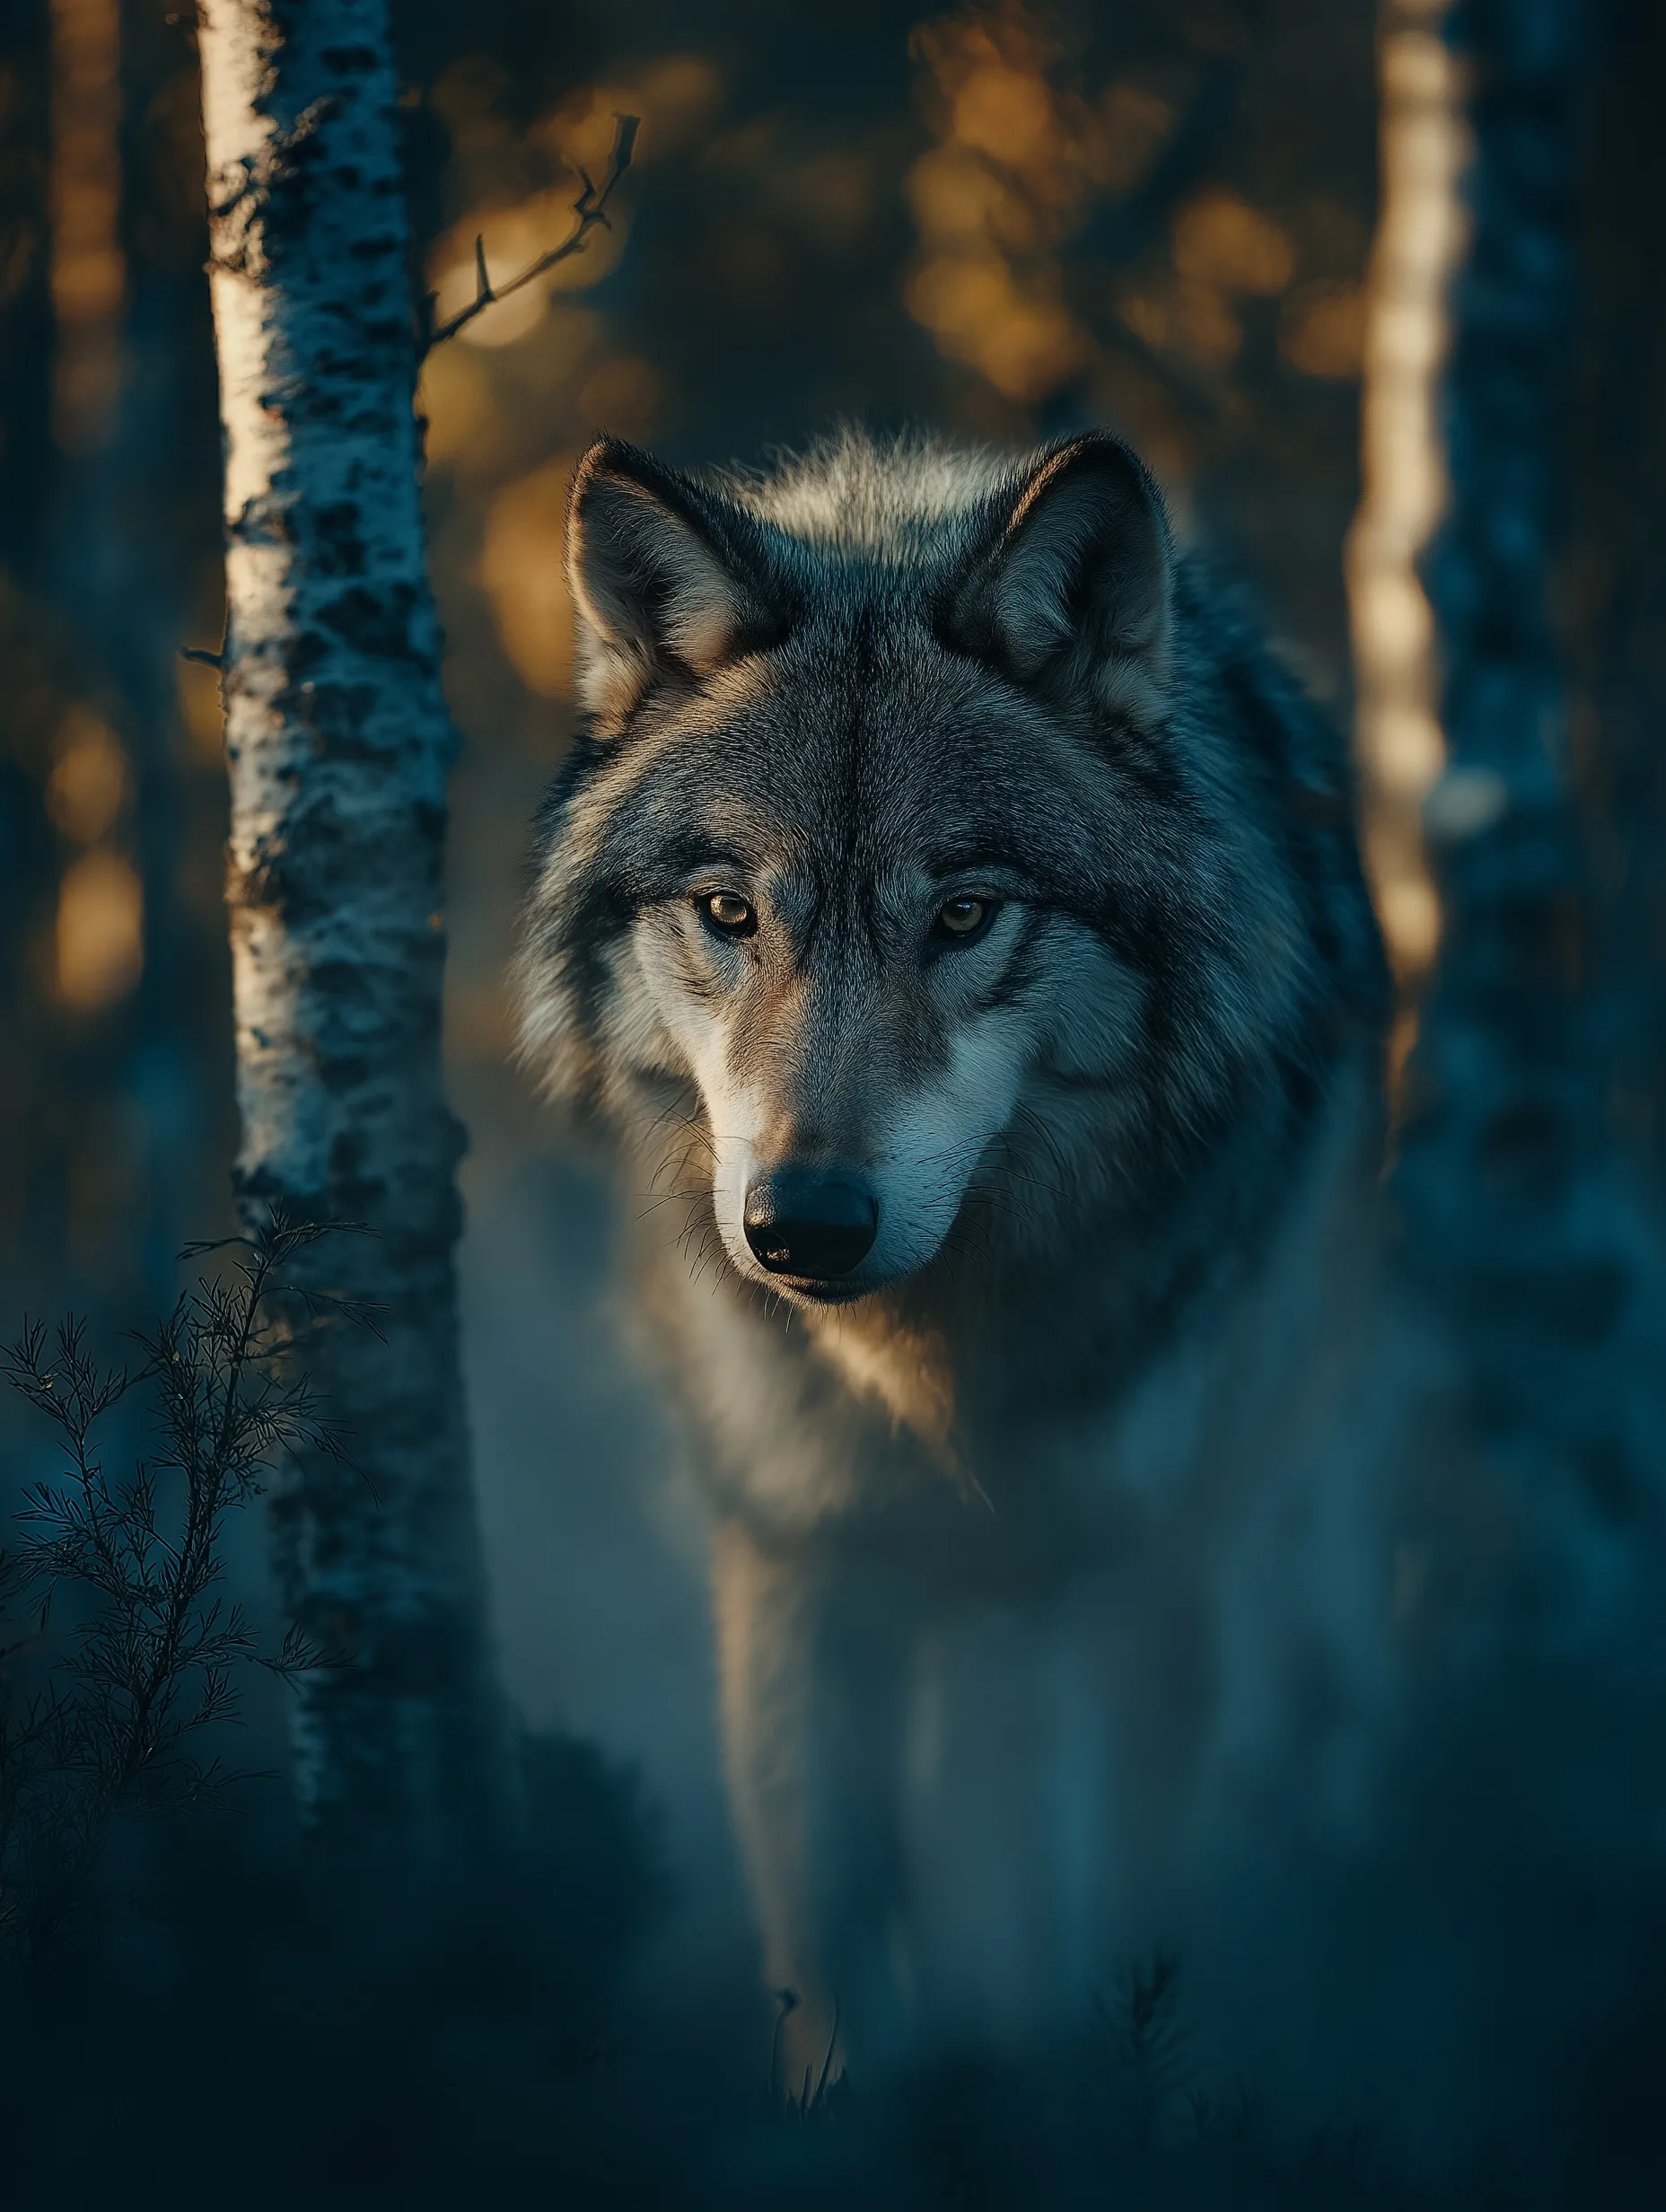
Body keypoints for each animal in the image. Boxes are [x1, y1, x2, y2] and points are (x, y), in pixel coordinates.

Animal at [514, 425, 1399, 2080]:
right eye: (730, 911)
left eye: (968, 914)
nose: (801, 1223)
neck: (923, 1368)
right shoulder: (796, 1559)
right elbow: (832, 1944)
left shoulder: (1077, 1577)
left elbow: (1055, 1915)